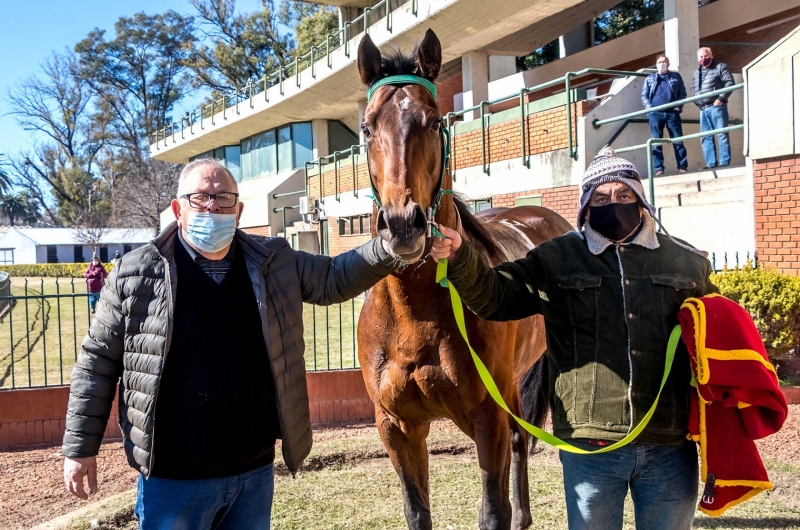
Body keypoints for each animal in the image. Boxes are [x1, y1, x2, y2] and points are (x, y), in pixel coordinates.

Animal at [356, 29, 576, 528]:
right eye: (367, 127)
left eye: (434, 121)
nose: (403, 225)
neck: (414, 317)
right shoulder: (396, 428)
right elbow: (417, 511)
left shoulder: (486, 418)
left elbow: (493, 510)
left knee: (522, 440)